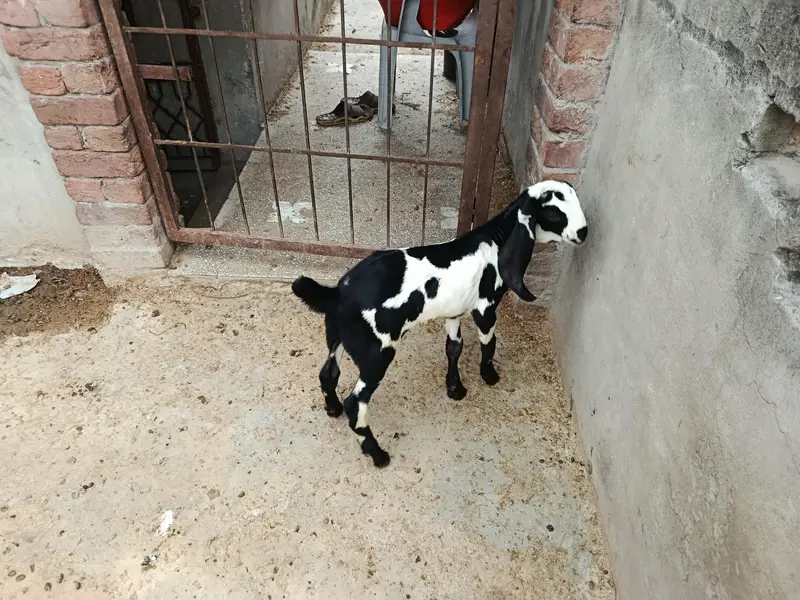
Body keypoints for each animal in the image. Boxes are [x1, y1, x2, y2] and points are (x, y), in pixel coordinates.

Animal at [292, 180, 587, 468]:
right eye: (553, 212)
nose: (583, 232)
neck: (495, 240)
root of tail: (338, 294)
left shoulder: (453, 312)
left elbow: (454, 347)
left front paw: (455, 388)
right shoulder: (485, 308)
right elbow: (488, 343)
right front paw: (489, 376)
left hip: (336, 336)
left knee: (328, 373)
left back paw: (333, 409)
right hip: (376, 353)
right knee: (356, 404)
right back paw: (377, 454)